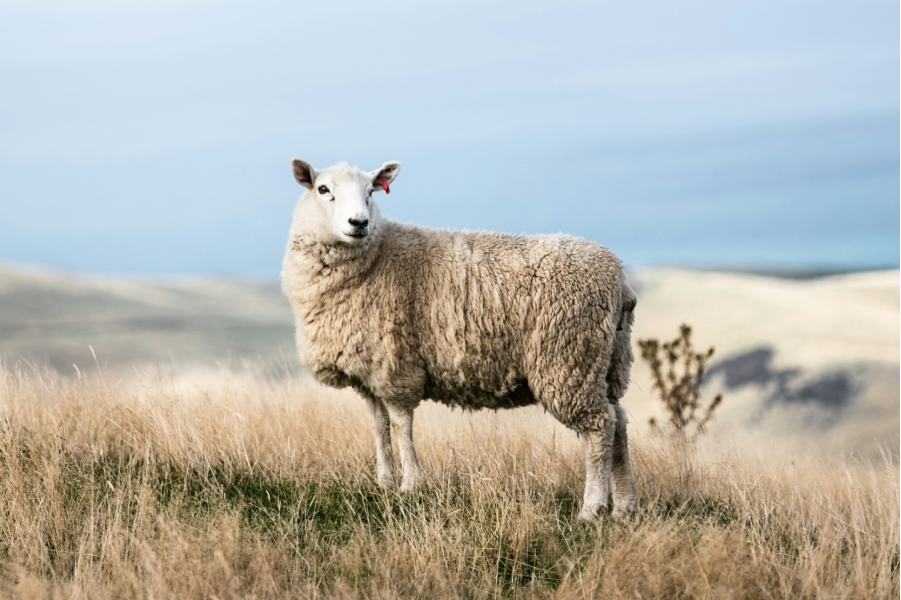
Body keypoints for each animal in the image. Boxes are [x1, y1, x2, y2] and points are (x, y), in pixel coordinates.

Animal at [281, 159, 638, 520]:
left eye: (371, 191)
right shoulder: (369, 372)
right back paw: (624, 505)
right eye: (323, 189)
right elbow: (379, 426)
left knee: (599, 427)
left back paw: (592, 508)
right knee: (618, 421)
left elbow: (400, 425)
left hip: (569, 359)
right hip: (607, 363)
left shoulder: (396, 367)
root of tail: (620, 281)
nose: (359, 223)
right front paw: (384, 482)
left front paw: (411, 484)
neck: (376, 257)